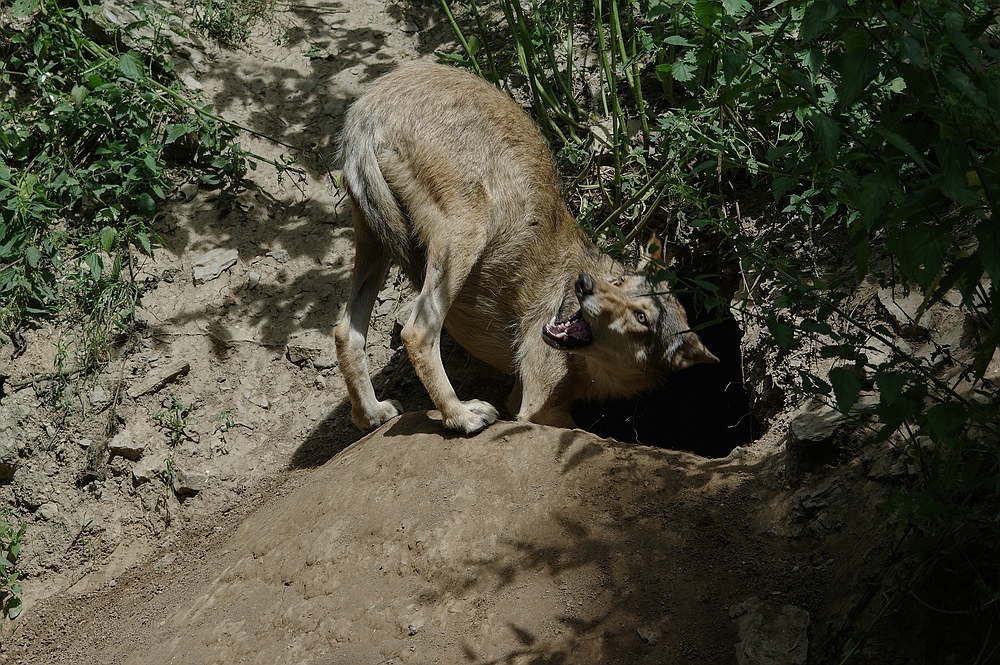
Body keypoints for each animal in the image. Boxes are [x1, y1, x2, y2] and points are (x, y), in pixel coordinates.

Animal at [338, 62, 720, 436]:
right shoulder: (536, 406)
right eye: (620, 284)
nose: (583, 285)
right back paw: (460, 415)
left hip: (374, 245)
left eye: (642, 317)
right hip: (464, 236)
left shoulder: (522, 395)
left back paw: (371, 415)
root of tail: (370, 108)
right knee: (417, 331)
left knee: (346, 331)